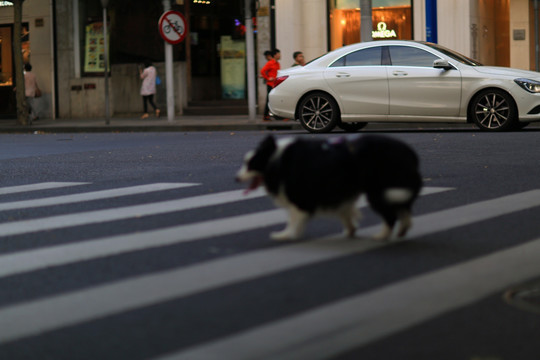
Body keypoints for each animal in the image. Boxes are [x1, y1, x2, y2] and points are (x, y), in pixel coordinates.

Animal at [236, 135, 422, 242]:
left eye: (249, 164)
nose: (235, 179)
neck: (274, 159)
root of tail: (410, 153)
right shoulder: (338, 191)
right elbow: (345, 212)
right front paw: (350, 231)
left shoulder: (301, 195)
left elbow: (294, 218)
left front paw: (285, 235)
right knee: (404, 209)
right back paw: (402, 230)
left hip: (377, 191)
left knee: (391, 215)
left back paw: (381, 236)